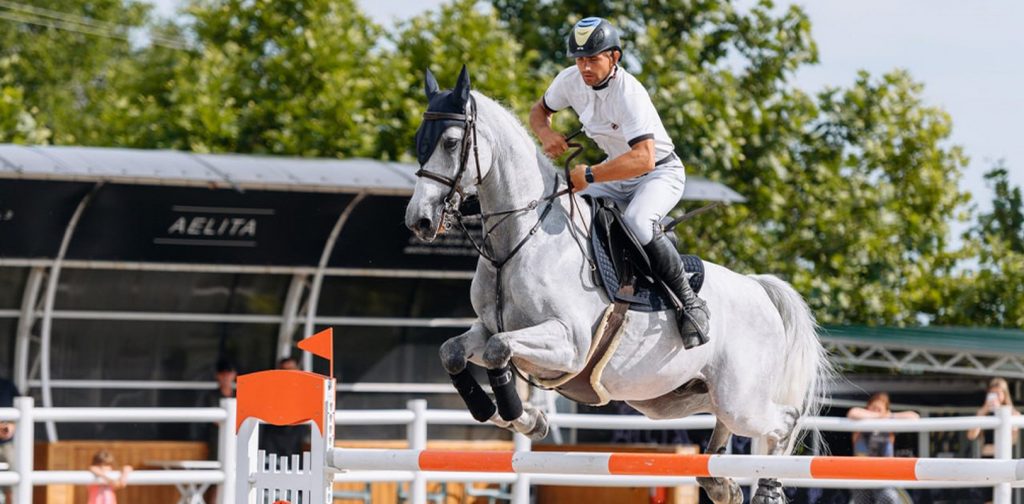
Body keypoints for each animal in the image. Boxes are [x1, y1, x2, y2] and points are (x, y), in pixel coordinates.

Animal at [403, 68, 827, 504]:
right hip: (678, 398)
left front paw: (525, 418)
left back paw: (767, 488)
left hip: (741, 398)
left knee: (783, 421)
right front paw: (520, 418)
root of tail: (758, 288)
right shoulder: (487, 327)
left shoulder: (569, 344)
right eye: (420, 140)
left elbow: (498, 350)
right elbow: (453, 352)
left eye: (451, 142)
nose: (419, 220)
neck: (520, 239)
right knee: (727, 425)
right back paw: (720, 483)